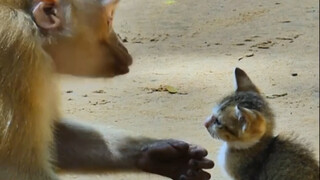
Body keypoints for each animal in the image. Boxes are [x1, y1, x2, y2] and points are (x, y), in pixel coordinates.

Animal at [0, 0, 215, 180]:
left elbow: (57, 137)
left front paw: (161, 155)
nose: (122, 45)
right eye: (109, 20)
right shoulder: (18, 50)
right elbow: (18, 169)